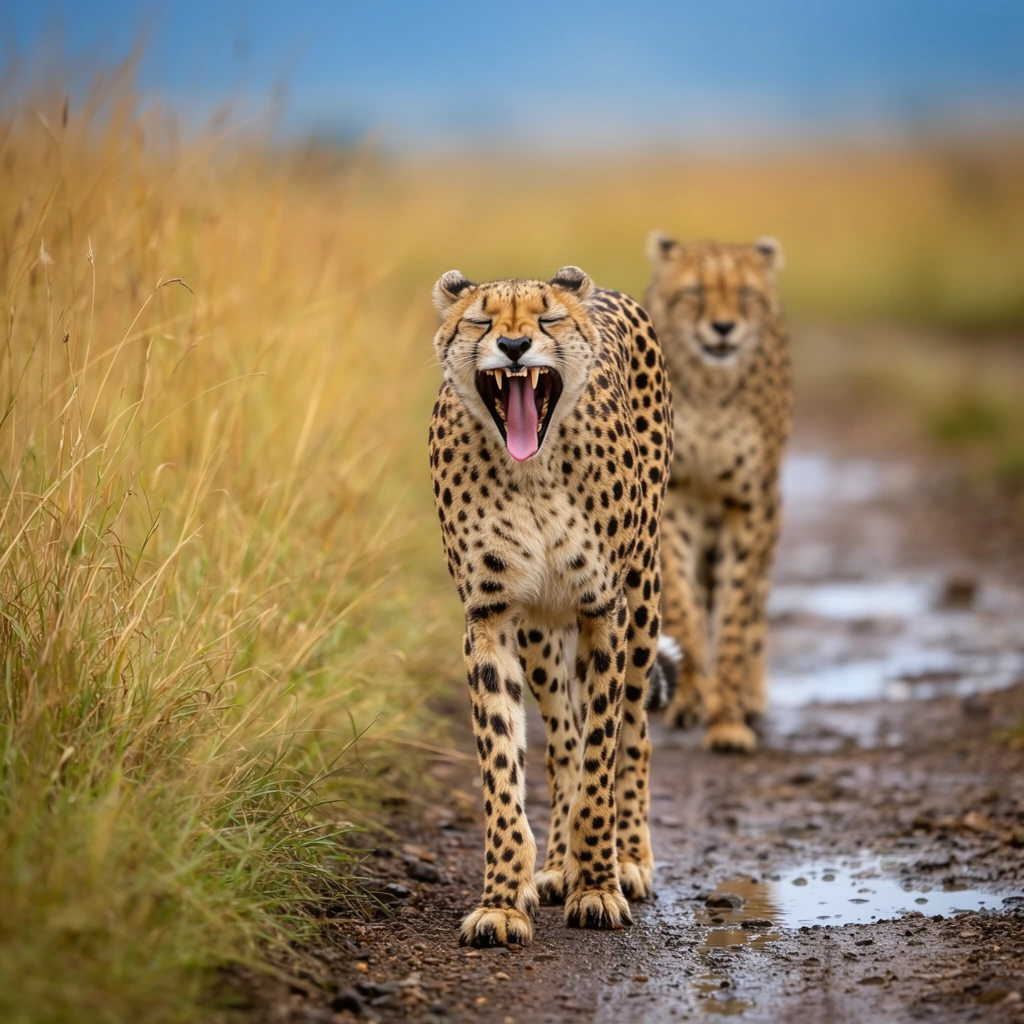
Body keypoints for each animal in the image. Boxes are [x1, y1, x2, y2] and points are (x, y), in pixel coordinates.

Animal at [428, 264, 673, 947]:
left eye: (548, 318)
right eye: (481, 320)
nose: (514, 347)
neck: (531, 473)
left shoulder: (603, 609)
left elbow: (601, 760)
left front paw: (599, 886)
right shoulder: (491, 617)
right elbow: (504, 764)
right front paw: (503, 899)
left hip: (643, 599)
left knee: (634, 730)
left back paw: (629, 857)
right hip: (540, 628)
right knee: (562, 737)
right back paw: (560, 864)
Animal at [643, 233, 793, 753]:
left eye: (744, 293)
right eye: (696, 292)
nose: (723, 327)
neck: (711, 387)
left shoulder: (747, 505)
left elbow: (734, 615)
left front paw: (726, 718)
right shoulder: (674, 497)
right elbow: (684, 604)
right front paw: (691, 696)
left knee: (757, 608)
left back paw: (750, 693)